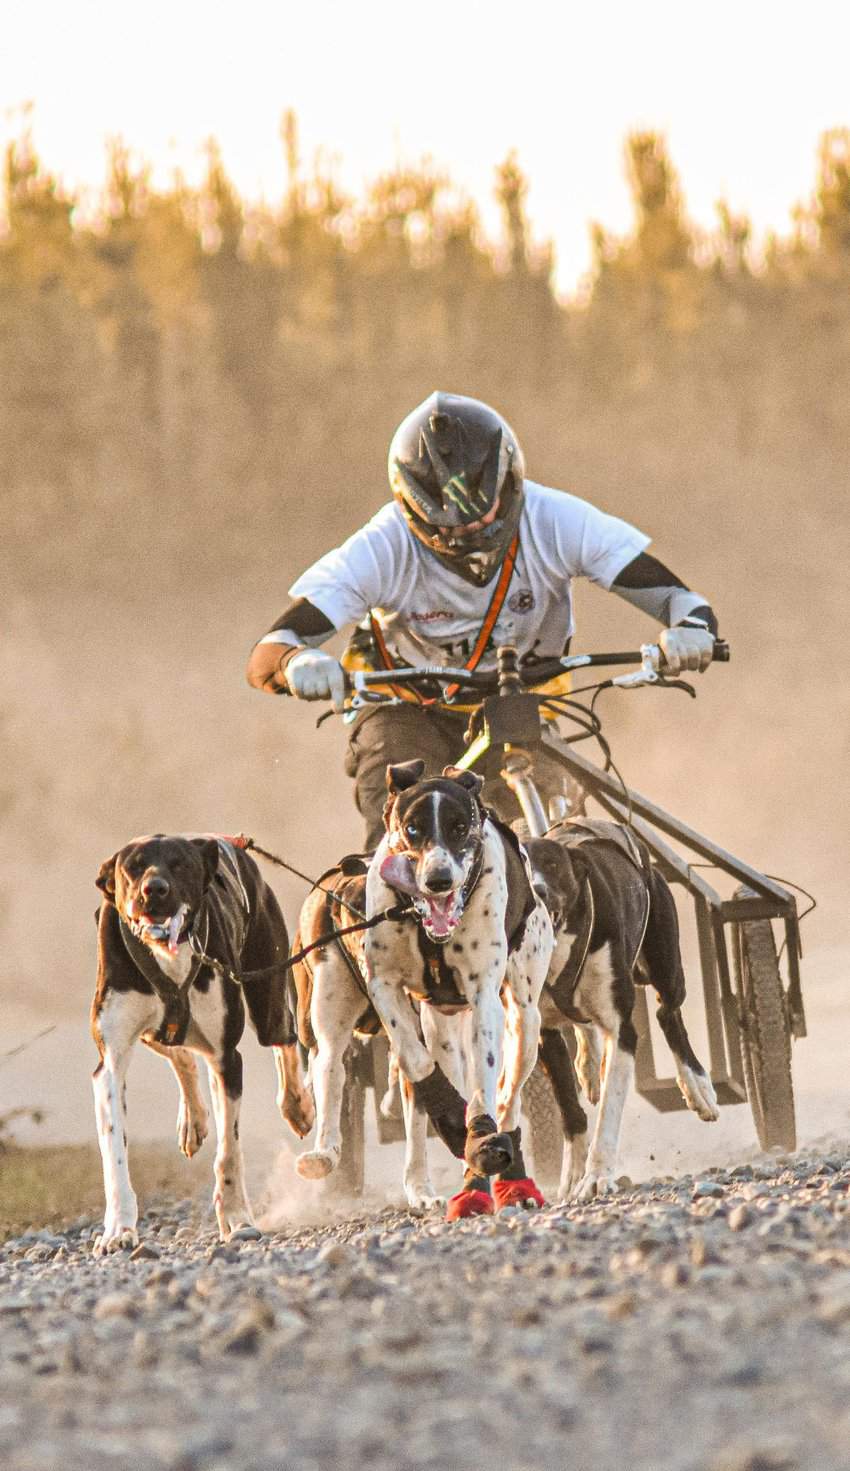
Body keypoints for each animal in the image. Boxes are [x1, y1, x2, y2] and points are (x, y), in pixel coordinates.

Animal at [90, 835, 314, 1259]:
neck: (170, 958)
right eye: (133, 867)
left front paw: (238, 1219)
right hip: (154, 1033)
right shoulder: (110, 1062)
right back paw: (192, 1118)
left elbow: (229, 1152)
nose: (154, 890)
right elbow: (114, 1157)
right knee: (177, 1050)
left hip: (268, 992)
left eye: (180, 865)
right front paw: (118, 1229)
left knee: (286, 1040)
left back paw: (298, 1105)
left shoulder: (227, 1058)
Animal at [523, 823, 714, 1200]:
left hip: (666, 967)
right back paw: (588, 1064)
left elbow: (609, 1110)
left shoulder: (621, 1029)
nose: (537, 890)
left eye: (551, 864)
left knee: (668, 1015)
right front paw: (573, 1175)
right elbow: (570, 1110)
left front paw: (596, 1175)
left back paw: (697, 1086)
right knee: (585, 1027)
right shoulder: (544, 1033)